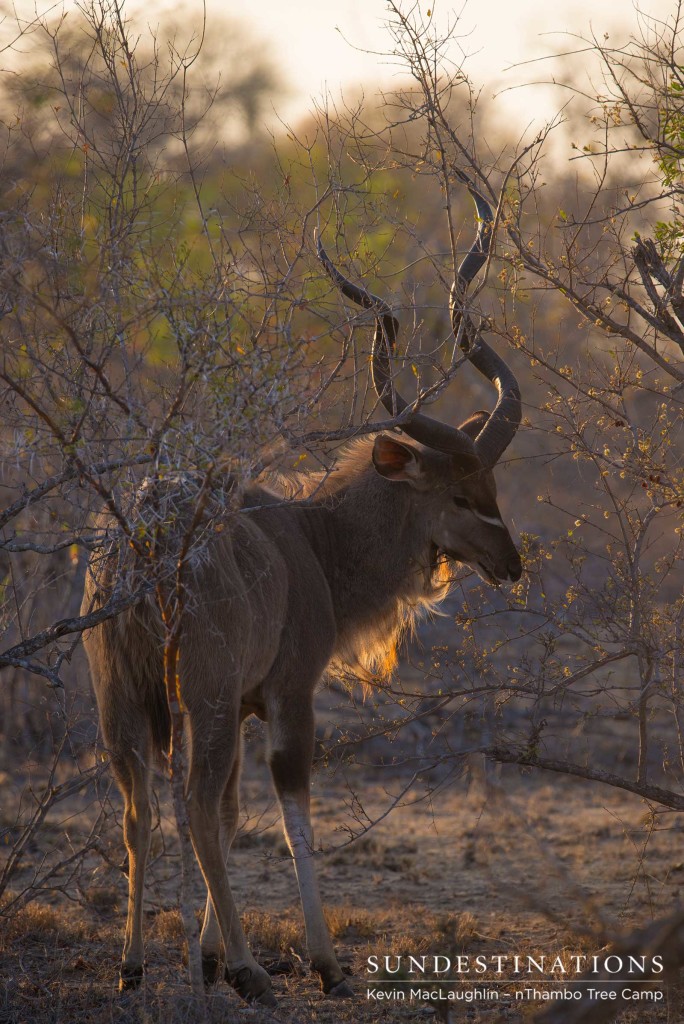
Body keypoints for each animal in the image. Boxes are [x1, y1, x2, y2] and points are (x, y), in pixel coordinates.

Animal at [81, 180, 518, 1003]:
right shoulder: (286, 694)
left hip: (120, 697)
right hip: (204, 698)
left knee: (139, 808)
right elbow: (288, 813)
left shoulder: (243, 702)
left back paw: (130, 966)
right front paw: (323, 964)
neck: (311, 542)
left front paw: (206, 958)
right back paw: (254, 972)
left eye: (493, 491)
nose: (511, 563)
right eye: (461, 495)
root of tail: (140, 549)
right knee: (189, 804)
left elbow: (231, 813)